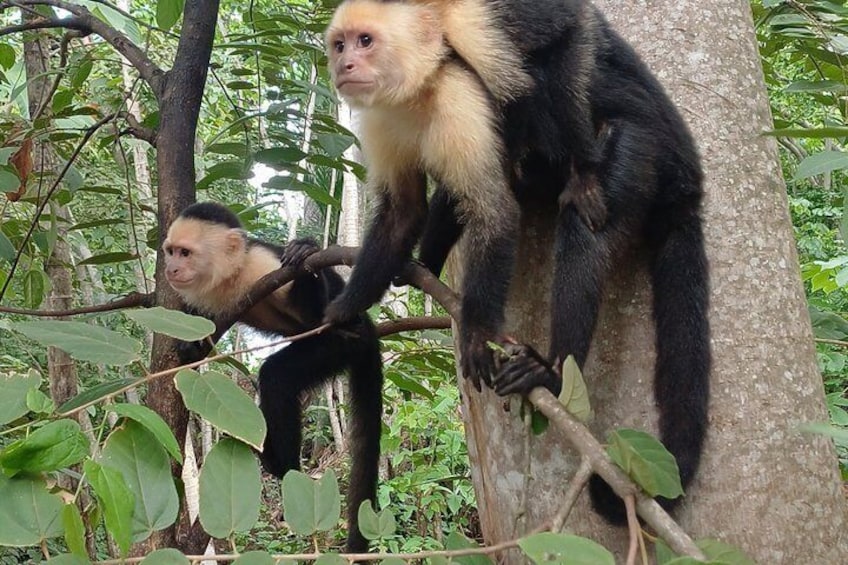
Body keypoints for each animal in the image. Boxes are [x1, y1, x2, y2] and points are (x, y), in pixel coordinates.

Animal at [162, 202, 382, 553]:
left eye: (185, 253)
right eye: (170, 251)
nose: (170, 268)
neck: (231, 275)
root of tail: (369, 329)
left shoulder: (264, 267)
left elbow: (318, 316)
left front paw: (306, 258)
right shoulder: (199, 297)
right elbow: (197, 330)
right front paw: (187, 347)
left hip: (340, 346)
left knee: (278, 377)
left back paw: (283, 464)